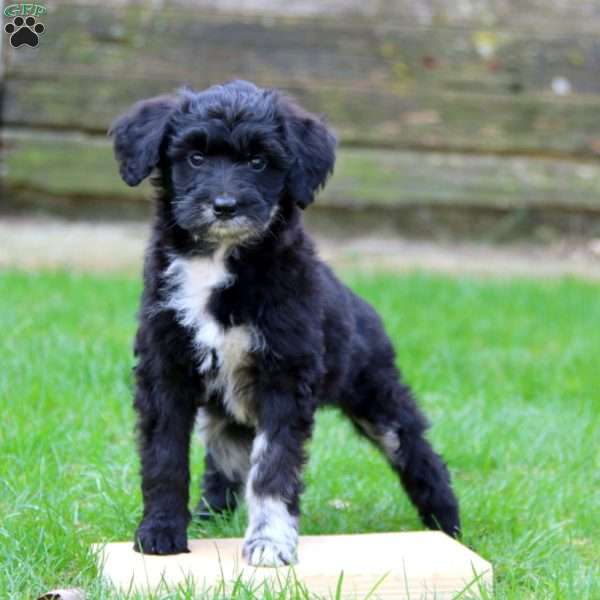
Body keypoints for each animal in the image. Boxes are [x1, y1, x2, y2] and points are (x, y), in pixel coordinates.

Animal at [110, 79, 460, 568]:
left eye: (259, 161)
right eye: (195, 157)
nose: (224, 206)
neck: (219, 261)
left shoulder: (283, 380)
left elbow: (272, 469)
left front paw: (270, 543)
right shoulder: (165, 371)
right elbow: (165, 459)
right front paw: (160, 532)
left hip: (377, 399)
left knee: (415, 450)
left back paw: (448, 524)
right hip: (227, 415)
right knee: (224, 459)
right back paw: (209, 516)